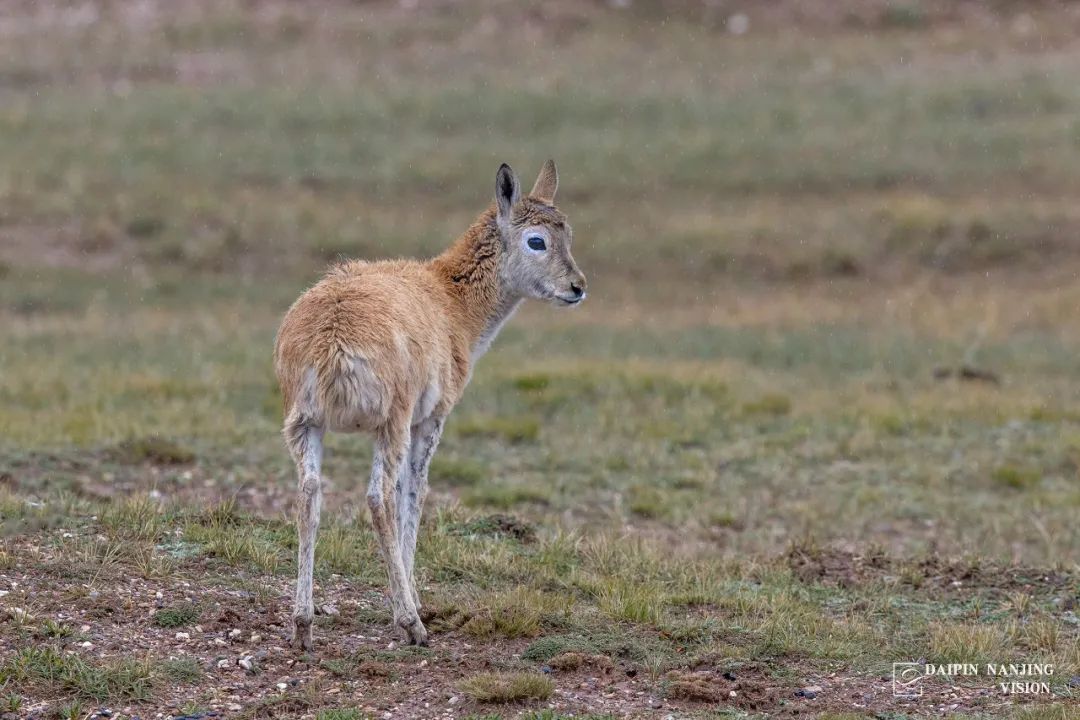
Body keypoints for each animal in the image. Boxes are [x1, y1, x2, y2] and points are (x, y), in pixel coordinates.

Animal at [274, 160, 587, 651]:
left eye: (567, 231)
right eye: (537, 239)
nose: (577, 287)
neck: (449, 299)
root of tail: (332, 335)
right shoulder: (430, 420)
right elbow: (414, 494)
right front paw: (412, 604)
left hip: (306, 425)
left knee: (309, 493)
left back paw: (303, 625)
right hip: (391, 425)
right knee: (378, 497)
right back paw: (412, 625)